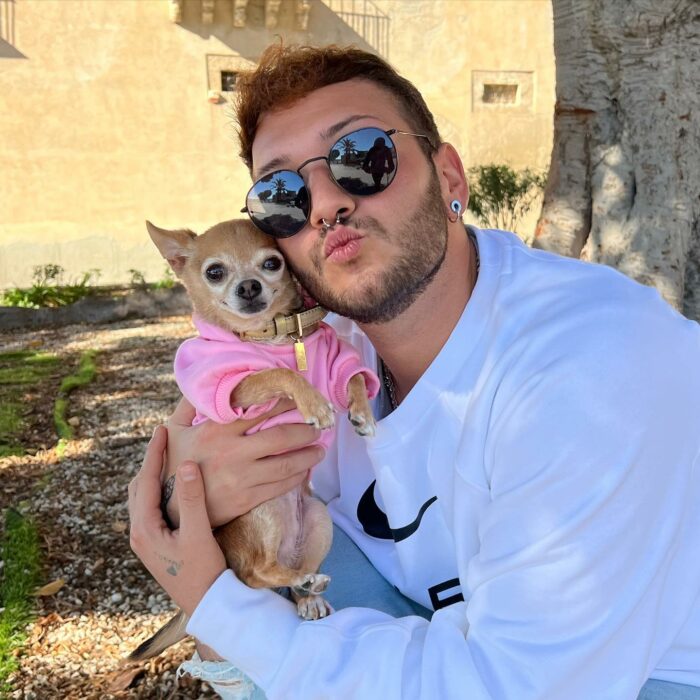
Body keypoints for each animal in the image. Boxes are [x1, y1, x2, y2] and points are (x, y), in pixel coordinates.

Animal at [126, 219, 378, 660]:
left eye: (272, 263)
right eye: (214, 272)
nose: (248, 286)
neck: (272, 336)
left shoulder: (335, 359)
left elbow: (355, 376)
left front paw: (361, 412)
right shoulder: (232, 385)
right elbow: (278, 373)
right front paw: (315, 404)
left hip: (318, 519)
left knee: (286, 575)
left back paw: (307, 592)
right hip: (260, 510)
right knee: (253, 574)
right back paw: (300, 582)